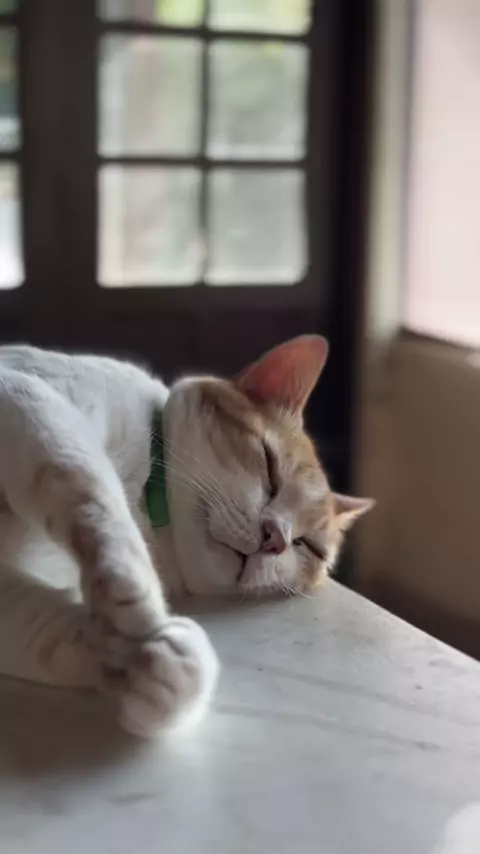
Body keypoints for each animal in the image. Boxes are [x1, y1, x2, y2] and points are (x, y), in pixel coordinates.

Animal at [0, 335, 372, 737]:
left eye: (308, 546)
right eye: (271, 466)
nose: (276, 538)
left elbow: (47, 631)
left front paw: (154, 665)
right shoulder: (28, 398)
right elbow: (91, 492)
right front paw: (136, 596)